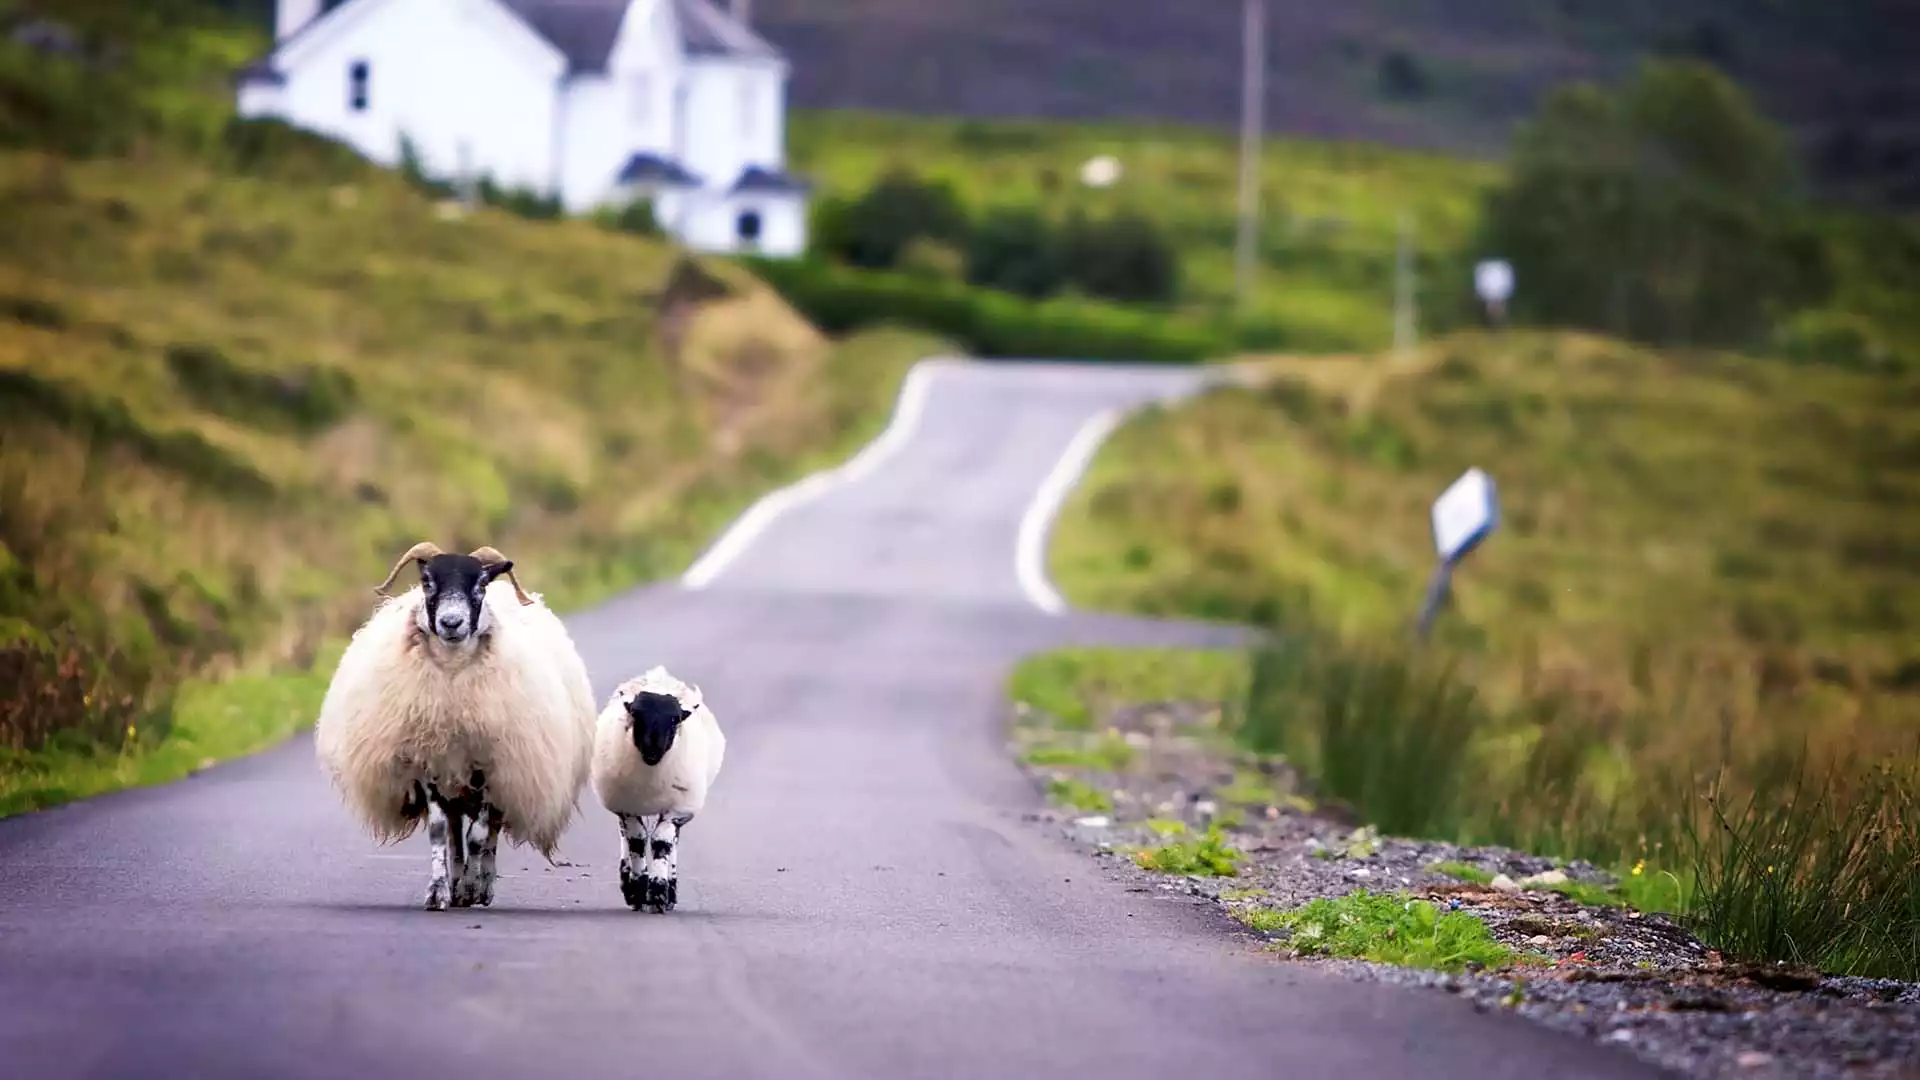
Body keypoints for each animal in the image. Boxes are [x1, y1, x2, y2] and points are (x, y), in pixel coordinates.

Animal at [311, 538, 595, 907]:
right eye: (427, 581)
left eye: (481, 585)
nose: (450, 623)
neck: (451, 683)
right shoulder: (429, 761)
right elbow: (440, 832)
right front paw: (439, 890)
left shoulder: (491, 764)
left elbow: (479, 835)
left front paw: (473, 886)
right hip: (456, 779)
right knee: (456, 831)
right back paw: (458, 881)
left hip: (507, 772)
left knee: (489, 832)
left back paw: (481, 884)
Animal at [587, 664, 721, 907]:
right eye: (635, 714)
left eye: (675, 719)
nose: (653, 750)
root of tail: (659, 676)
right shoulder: (626, 807)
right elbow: (637, 840)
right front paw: (638, 889)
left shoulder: (676, 809)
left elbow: (662, 842)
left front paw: (659, 892)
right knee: (625, 835)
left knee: (672, 841)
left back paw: (670, 890)